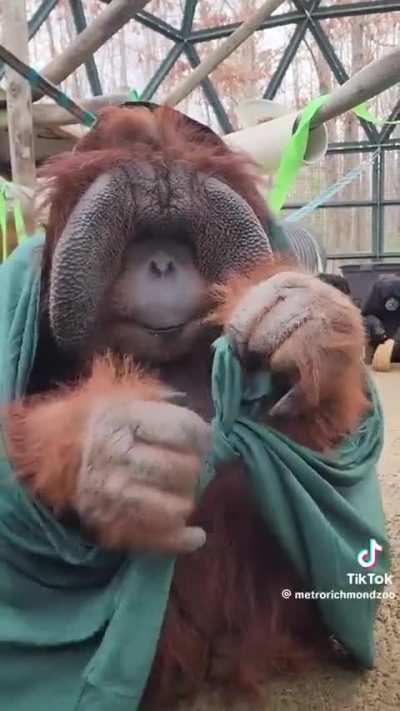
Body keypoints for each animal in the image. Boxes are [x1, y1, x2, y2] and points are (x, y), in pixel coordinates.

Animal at [2, 105, 370, 708]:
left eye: (180, 237)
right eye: (138, 239)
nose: (161, 264)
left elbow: (321, 448)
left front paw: (304, 317)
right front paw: (119, 458)